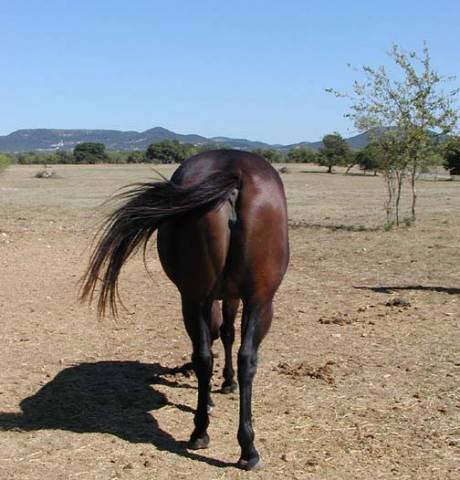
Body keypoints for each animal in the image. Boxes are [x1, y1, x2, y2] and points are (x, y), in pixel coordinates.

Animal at [79, 149, 288, 468]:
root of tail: (233, 174)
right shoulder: (229, 297)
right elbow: (227, 333)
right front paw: (226, 384)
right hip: (250, 301)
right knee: (238, 358)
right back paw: (236, 443)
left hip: (205, 299)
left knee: (209, 357)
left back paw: (214, 436)